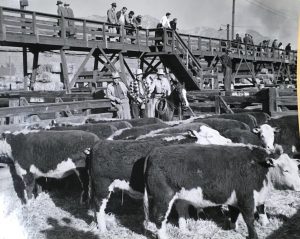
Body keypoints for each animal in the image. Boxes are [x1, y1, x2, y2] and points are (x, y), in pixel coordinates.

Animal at [143, 144, 300, 239]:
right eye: (286, 170)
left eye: (296, 168)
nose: (299, 186)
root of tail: (154, 152)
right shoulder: (246, 198)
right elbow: (249, 219)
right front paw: (253, 236)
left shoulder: (235, 198)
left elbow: (234, 214)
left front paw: (233, 228)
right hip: (162, 198)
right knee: (159, 218)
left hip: (181, 197)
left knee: (181, 211)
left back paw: (185, 231)